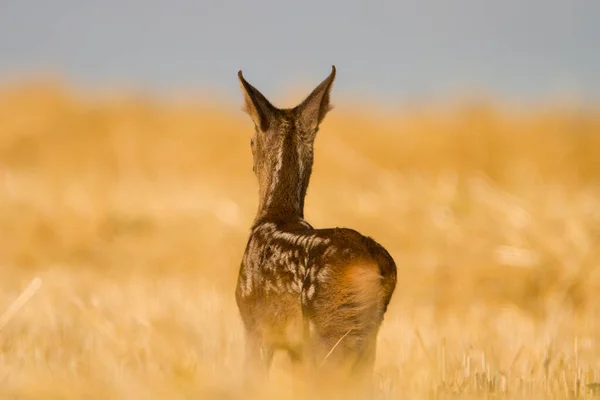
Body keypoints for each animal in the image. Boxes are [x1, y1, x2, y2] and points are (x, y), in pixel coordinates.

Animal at [234, 65, 398, 396]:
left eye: (250, 142)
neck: (275, 215)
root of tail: (373, 267)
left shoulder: (254, 322)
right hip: (366, 335)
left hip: (327, 327)